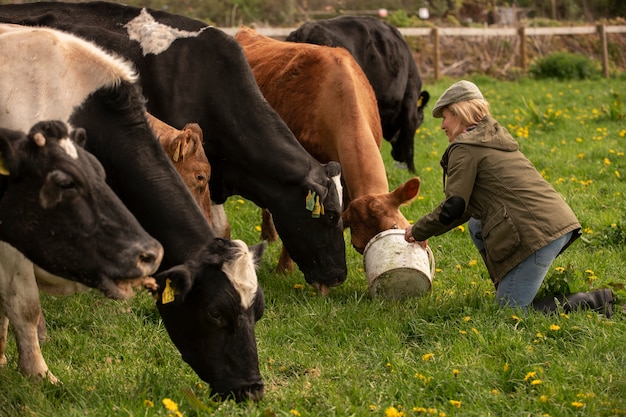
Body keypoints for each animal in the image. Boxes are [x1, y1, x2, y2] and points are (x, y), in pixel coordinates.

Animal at [286, 16, 428, 172]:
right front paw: (412, 171)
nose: (398, 156)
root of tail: (306, 30)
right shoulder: (410, 102)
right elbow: (409, 144)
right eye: (420, 121)